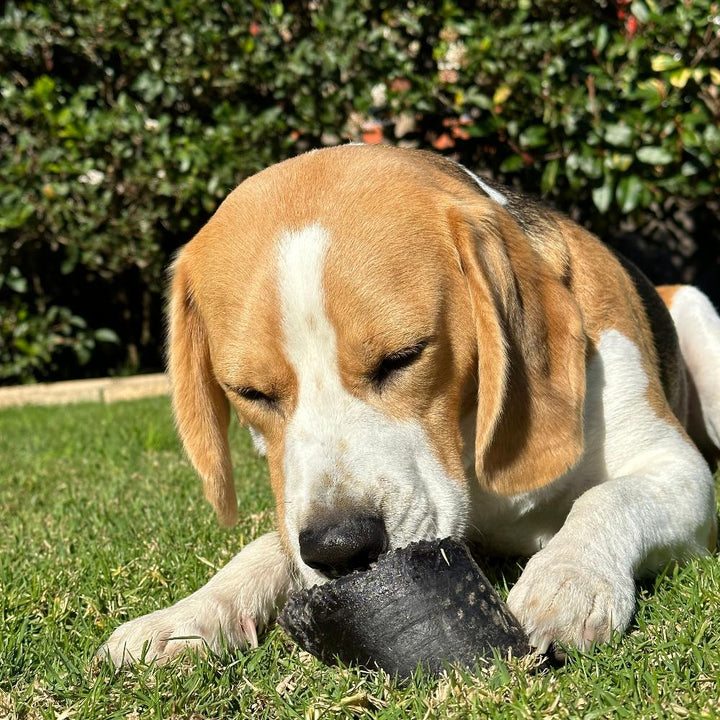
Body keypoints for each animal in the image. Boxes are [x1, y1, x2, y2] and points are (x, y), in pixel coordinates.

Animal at [100, 145, 716, 664]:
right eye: (251, 393)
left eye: (403, 357)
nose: (340, 546)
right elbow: (268, 544)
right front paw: (188, 615)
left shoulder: (681, 472)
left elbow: (608, 497)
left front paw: (570, 578)